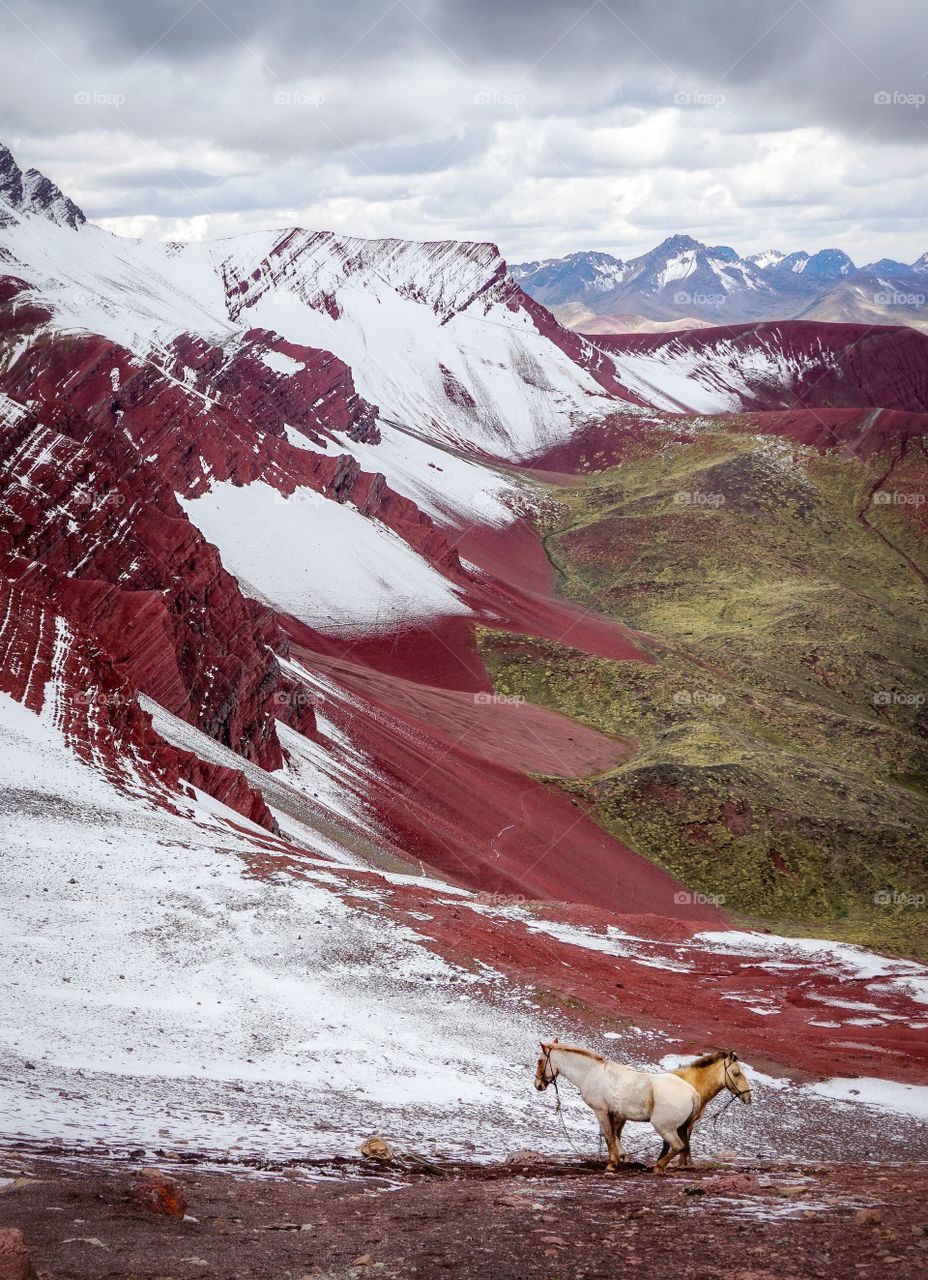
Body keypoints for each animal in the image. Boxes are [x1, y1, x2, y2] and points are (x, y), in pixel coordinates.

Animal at [532, 1039, 747, 1172]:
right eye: (736, 1073)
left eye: (540, 1060)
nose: (538, 1085)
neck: (592, 1072)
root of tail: (692, 1093)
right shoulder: (613, 1114)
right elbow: (614, 1136)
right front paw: (619, 1158)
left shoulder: (601, 1111)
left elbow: (609, 1136)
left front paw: (612, 1164)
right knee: (681, 1146)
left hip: (664, 1127)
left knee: (678, 1146)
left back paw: (659, 1166)